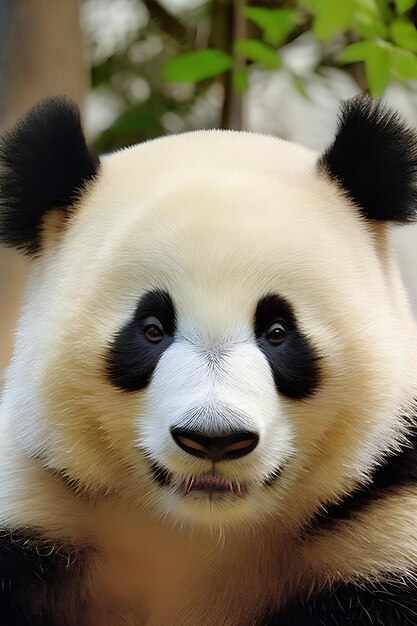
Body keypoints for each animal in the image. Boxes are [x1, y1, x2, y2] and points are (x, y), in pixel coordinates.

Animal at [0, 94, 416, 624]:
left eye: (277, 332)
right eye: (152, 329)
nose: (215, 438)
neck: (199, 530)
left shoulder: (381, 519)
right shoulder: (34, 501)